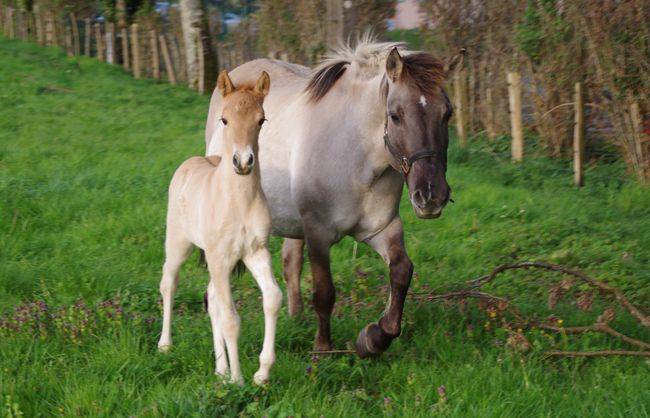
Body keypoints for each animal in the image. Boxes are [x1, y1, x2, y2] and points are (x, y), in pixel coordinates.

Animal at [159, 70, 282, 385]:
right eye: (224, 119)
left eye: (261, 120)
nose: (243, 162)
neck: (238, 202)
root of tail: (190, 162)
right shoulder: (219, 257)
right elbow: (230, 318)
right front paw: (238, 380)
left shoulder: (255, 252)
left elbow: (273, 298)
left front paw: (261, 373)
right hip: (178, 243)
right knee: (169, 282)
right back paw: (165, 345)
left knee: (212, 298)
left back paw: (220, 369)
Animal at [205, 38, 463, 358]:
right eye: (395, 115)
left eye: (447, 114)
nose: (430, 196)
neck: (356, 157)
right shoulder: (318, 232)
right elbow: (324, 292)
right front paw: (323, 348)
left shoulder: (382, 228)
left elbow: (402, 272)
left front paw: (373, 339)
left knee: (291, 262)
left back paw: (296, 318)